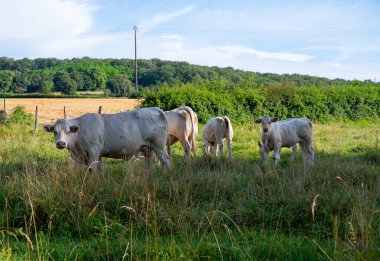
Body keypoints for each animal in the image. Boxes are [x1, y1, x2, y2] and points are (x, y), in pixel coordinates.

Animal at [42, 106, 171, 174]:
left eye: (68, 131)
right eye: (54, 131)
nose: (61, 143)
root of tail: (155, 108)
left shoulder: (93, 151)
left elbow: (92, 169)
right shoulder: (98, 154)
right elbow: (101, 169)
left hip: (159, 146)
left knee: (166, 161)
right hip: (148, 148)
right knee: (150, 164)